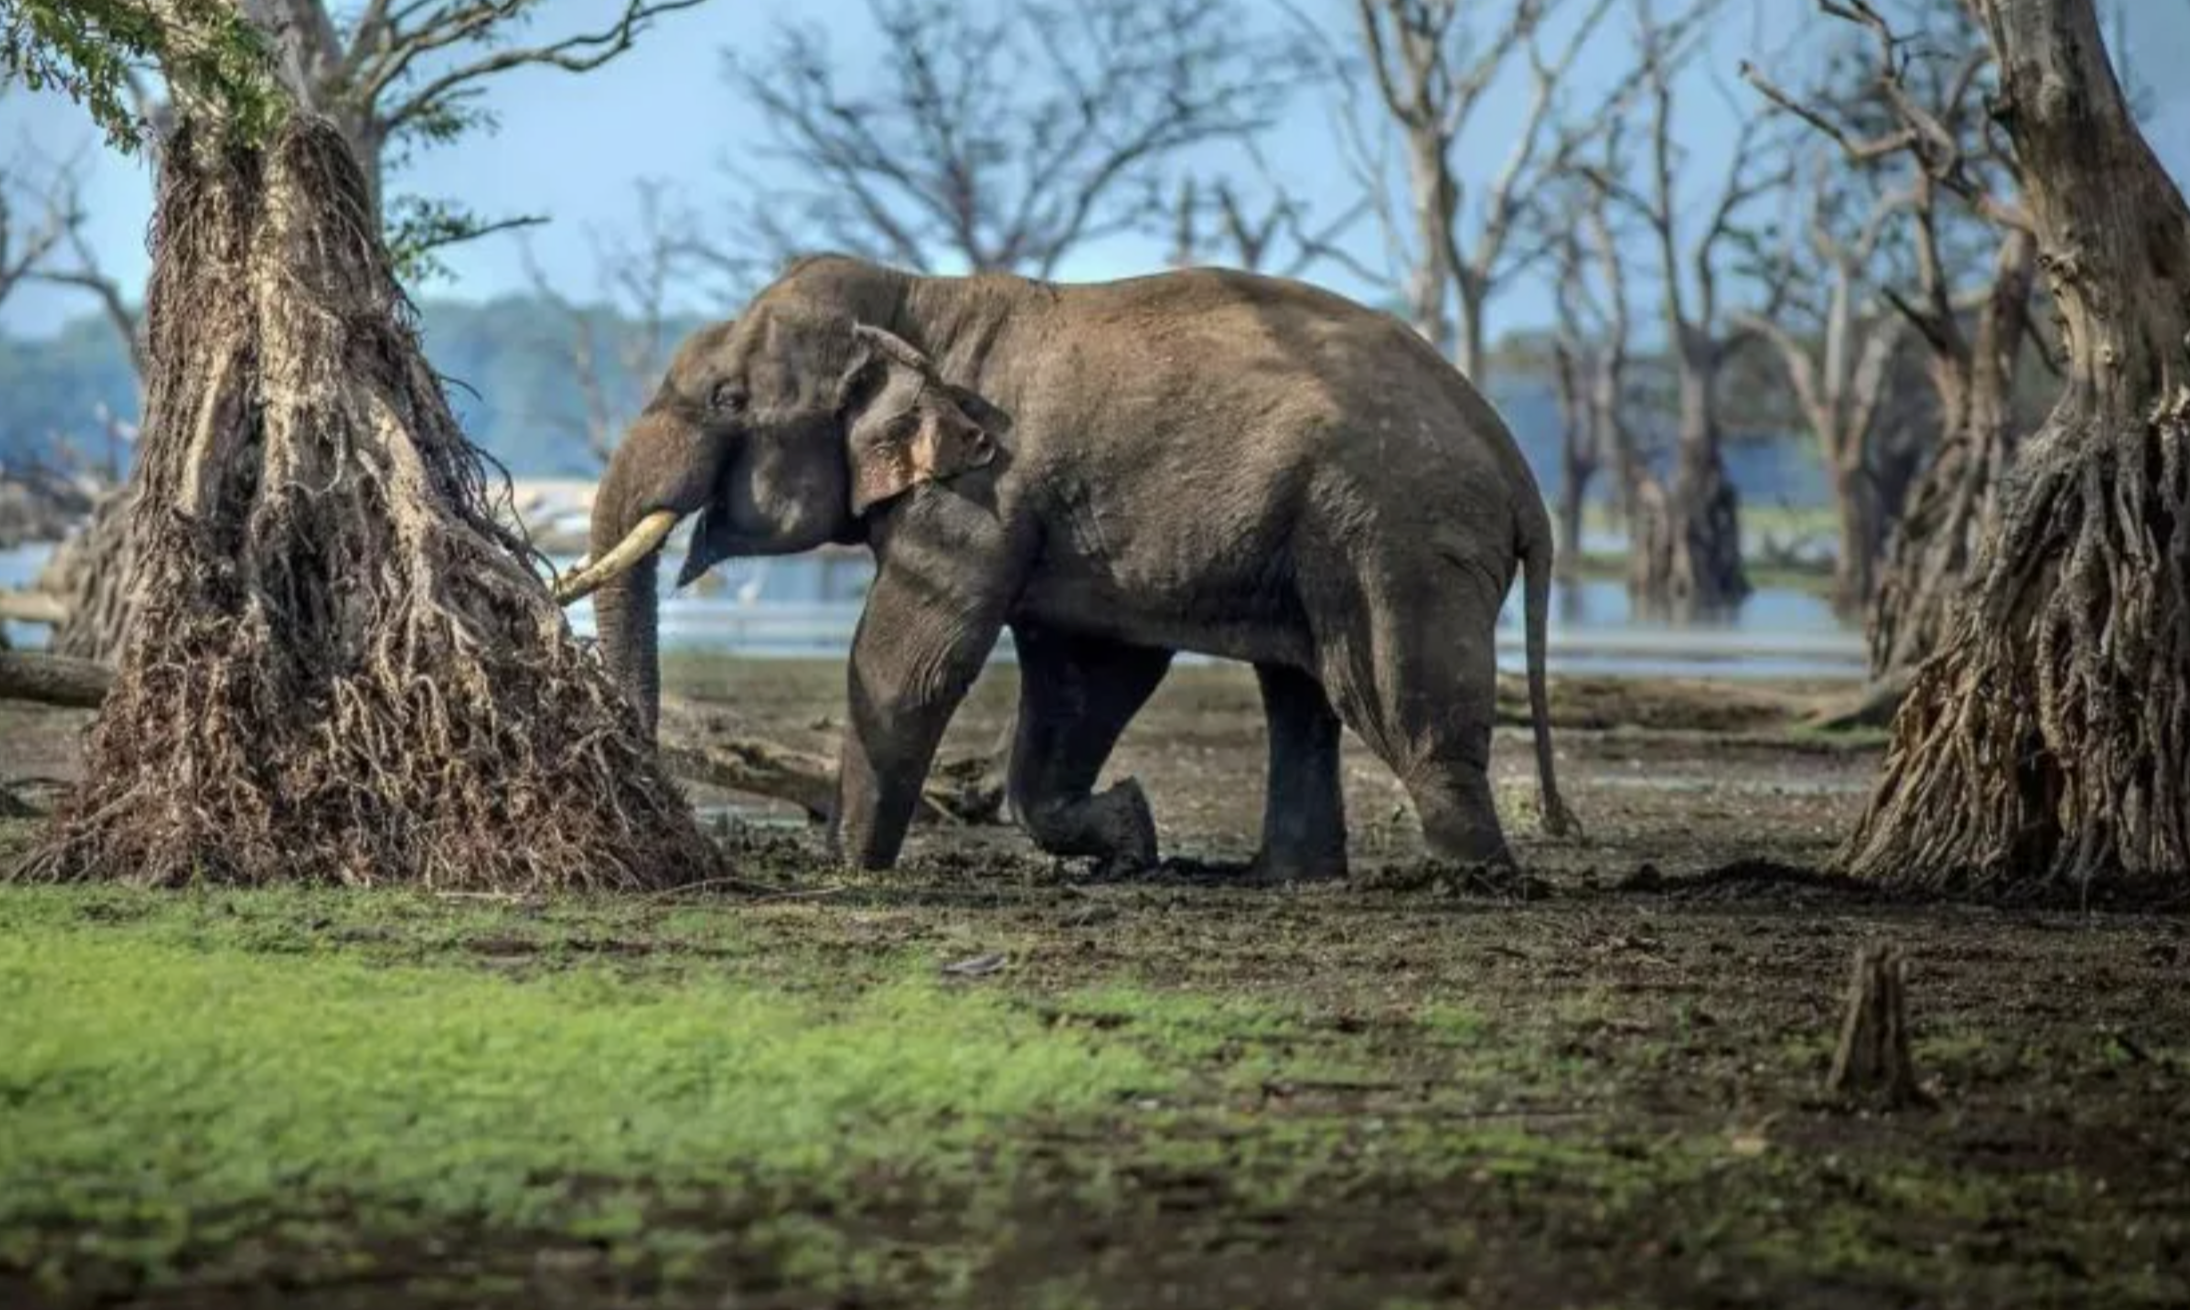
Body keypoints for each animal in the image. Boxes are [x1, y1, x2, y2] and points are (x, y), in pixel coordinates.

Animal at [560, 251, 1576, 876]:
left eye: (729, 398)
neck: (918, 298)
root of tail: (1519, 467)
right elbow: (1087, 669)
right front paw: (1130, 835)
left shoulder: (982, 489)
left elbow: (909, 662)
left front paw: (847, 867)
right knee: (1302, 691)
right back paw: (1290, 877)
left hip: (1396, 534)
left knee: (1387, 694)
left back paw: (1473, 878)